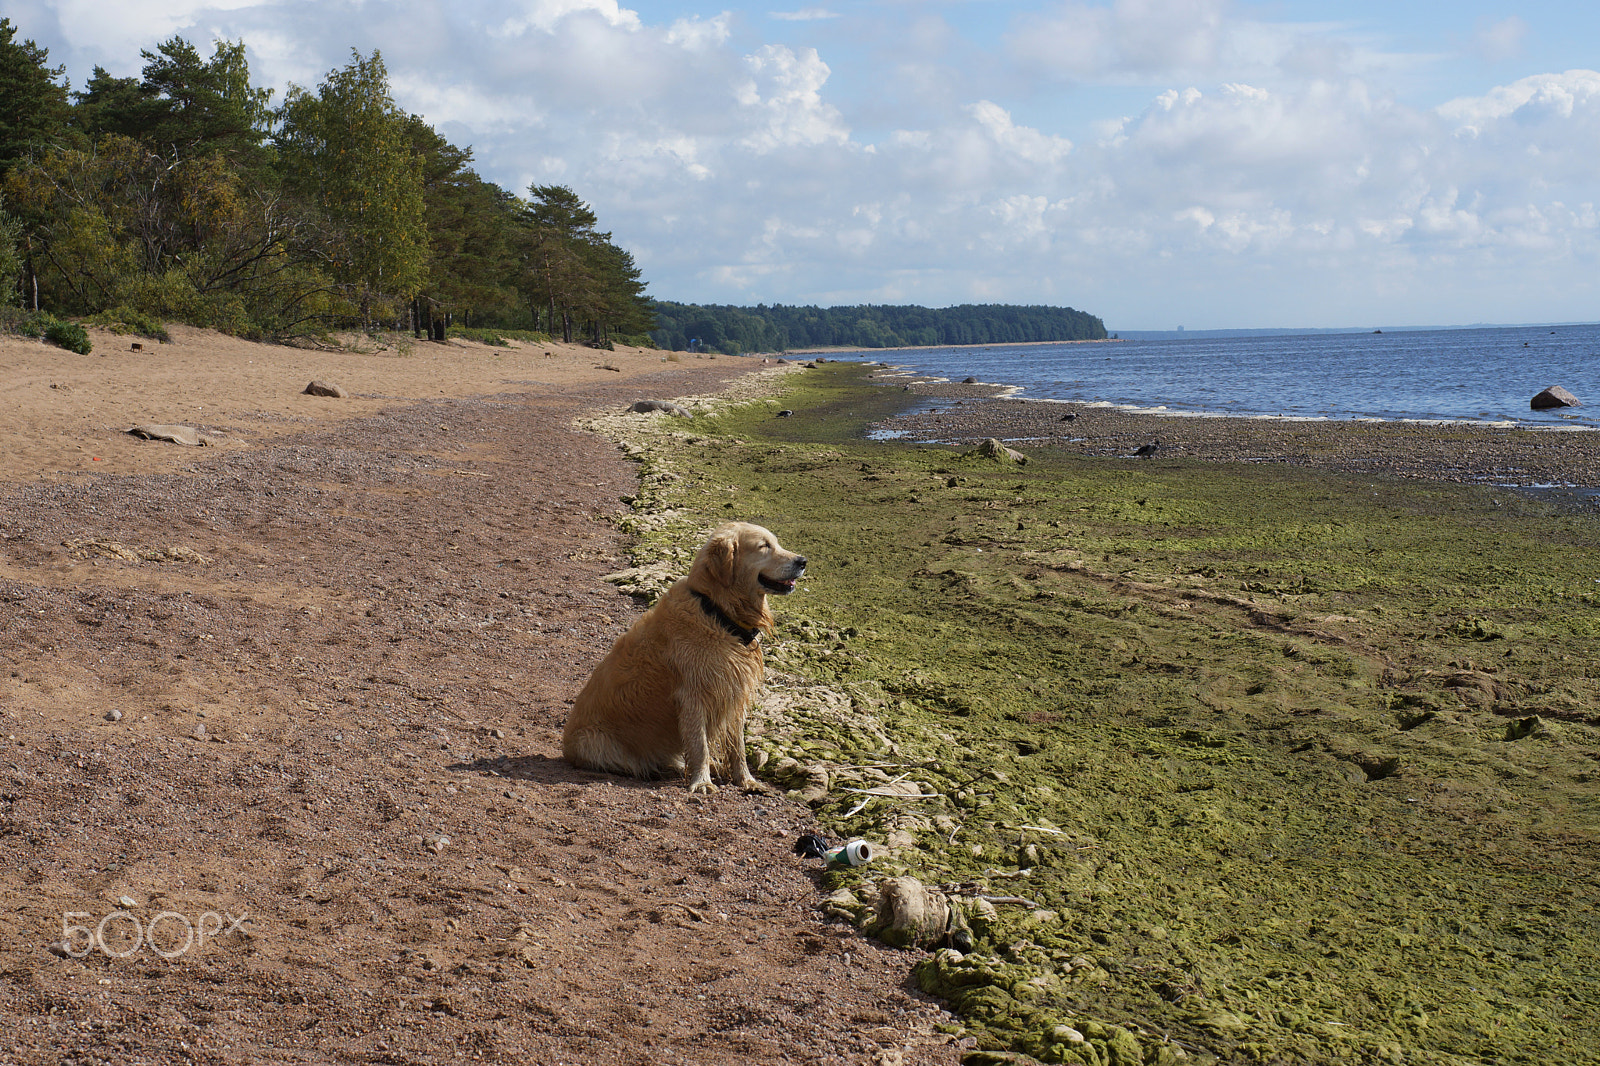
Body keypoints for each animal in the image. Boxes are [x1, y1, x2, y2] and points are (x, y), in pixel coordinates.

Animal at [566, 521, 812, 787]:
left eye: (776, 543)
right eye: (764, 546)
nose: (803, 561)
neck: (717, 613)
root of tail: (566, 748)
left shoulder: (734, 690)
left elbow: (738, 746)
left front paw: (745, 779)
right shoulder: (694, 693)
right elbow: (699, 744)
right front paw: (702, 782)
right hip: (594, 741)